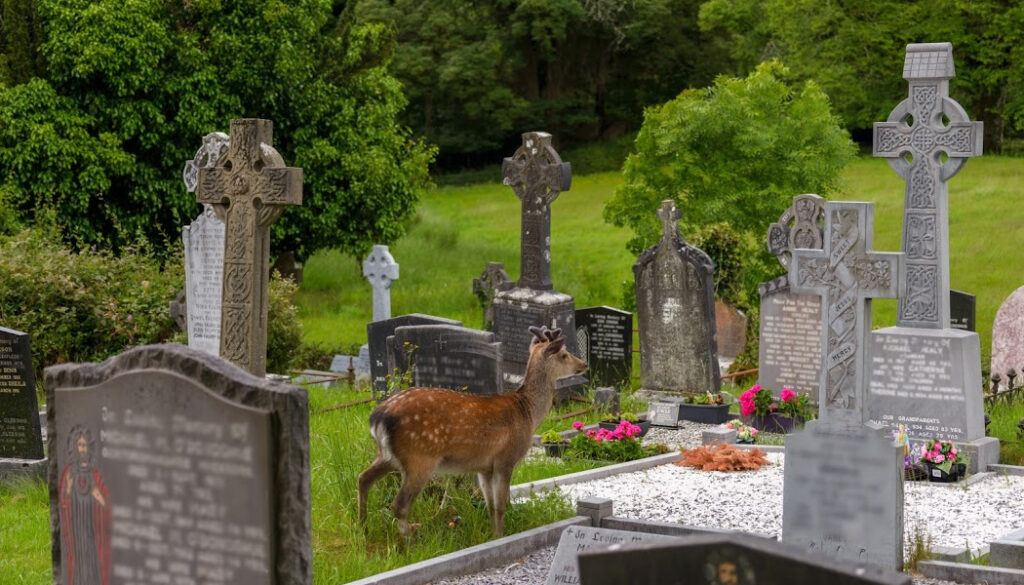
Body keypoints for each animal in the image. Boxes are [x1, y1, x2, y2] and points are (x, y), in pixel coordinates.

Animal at [357, 326, 586, 539]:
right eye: (564, 354)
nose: (583, 364)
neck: (528, 412)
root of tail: (378, 417)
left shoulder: (484, 467)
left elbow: (490, 504)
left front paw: (493, 535)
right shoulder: (506, 459)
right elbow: (500, 505)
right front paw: (501, 535)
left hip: (388, 456)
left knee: (363, 479)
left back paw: (363, 530)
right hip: (420, 458)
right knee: (399, 505)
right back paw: (407, 543)